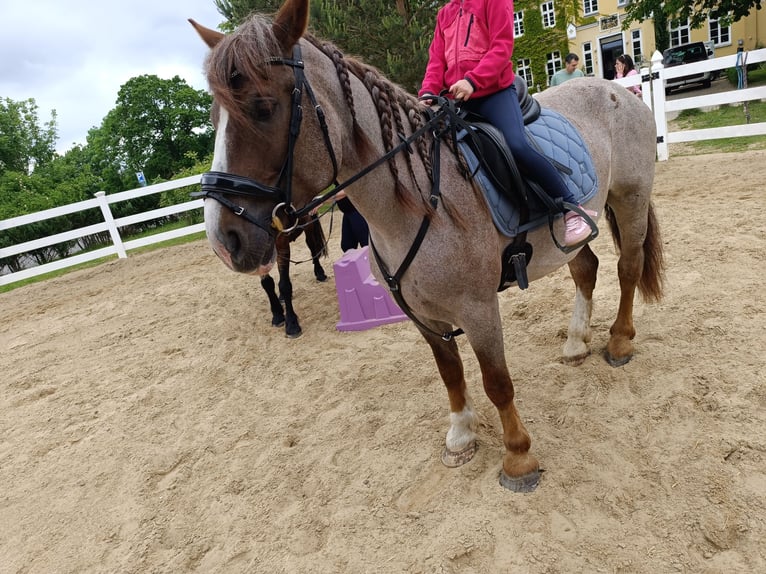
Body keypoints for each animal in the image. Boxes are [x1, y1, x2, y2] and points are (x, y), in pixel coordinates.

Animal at [189, 0, 664, 491]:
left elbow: (497, 381)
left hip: (629, 199)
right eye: (214, 117)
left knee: (627, 267)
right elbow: (450, 373)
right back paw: (575, 344)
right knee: (585, 268)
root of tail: (618, 89)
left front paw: (518, 458)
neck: (421, 202)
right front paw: (460, 437)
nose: (224, 240)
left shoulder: (478, 308)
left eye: (263, 108)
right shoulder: (421, 312)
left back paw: (619, 343)